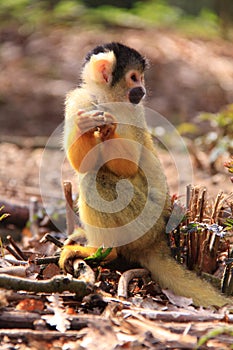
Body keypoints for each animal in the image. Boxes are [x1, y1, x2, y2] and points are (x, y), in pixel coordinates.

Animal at [59, 43, 230, 306]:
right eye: (133, 77)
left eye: (141, 77)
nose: (142, 89)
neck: (109, 100)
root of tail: (159, 241)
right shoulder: (79, 99)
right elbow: (81, 161)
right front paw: (86, 125)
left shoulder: (134, 111)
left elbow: (126, 167)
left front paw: (109, 129)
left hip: (144, 223)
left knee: (97, 179)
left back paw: (106, 251)